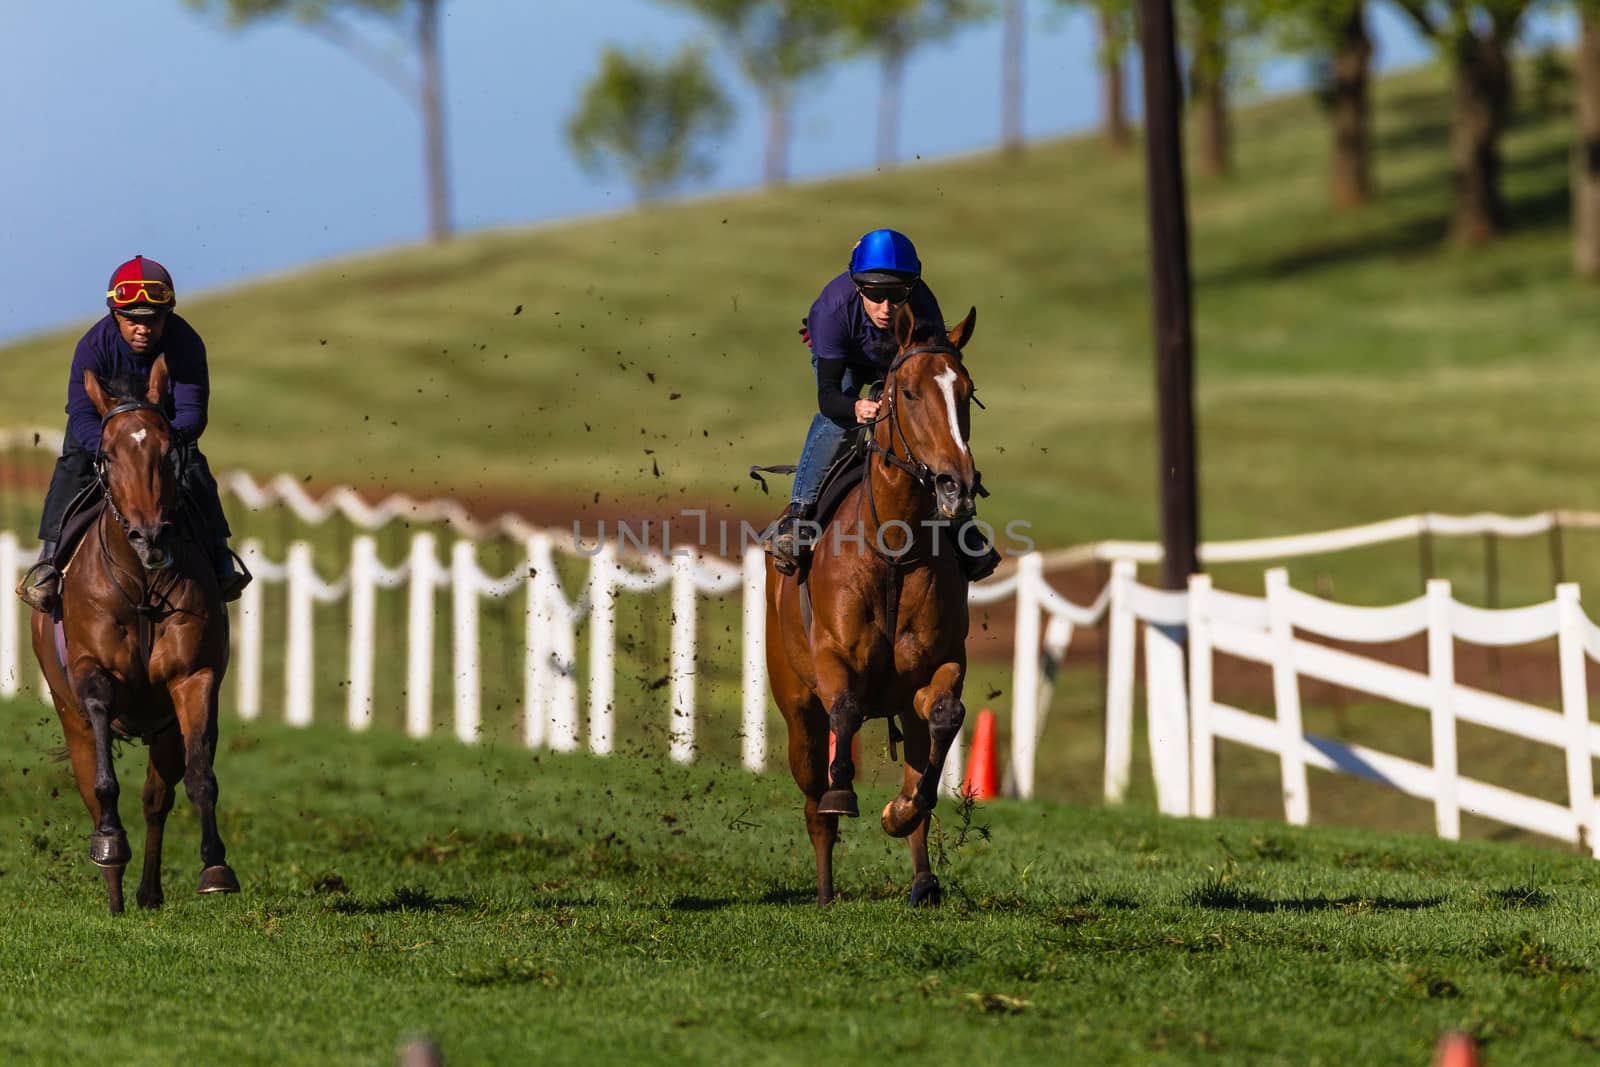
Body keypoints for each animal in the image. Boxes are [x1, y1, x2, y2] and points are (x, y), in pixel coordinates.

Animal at [29, 356, 238, 908]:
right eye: (107, 454)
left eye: (168, 452)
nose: (150, 536)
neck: (142, 585)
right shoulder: (92, 677)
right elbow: (103, 785)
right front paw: (108, 845)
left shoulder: (192, 676)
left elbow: (200, 776)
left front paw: (216, 867)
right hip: (71, 715)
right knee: (90, 785)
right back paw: (115, 886)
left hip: (162, 729)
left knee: (155, 799)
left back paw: (147, 892)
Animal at [768, 303, 979, 908]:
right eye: (906, 392)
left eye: (967, 391)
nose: (958, 484)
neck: (893, 548)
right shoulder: (835, 659)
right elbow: (845, 710)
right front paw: (848, 795)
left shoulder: (941, 662)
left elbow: (945, 718)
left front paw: (899, 811)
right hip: (795, 710)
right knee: (815, 801)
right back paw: (823, 889)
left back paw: (923, 881)